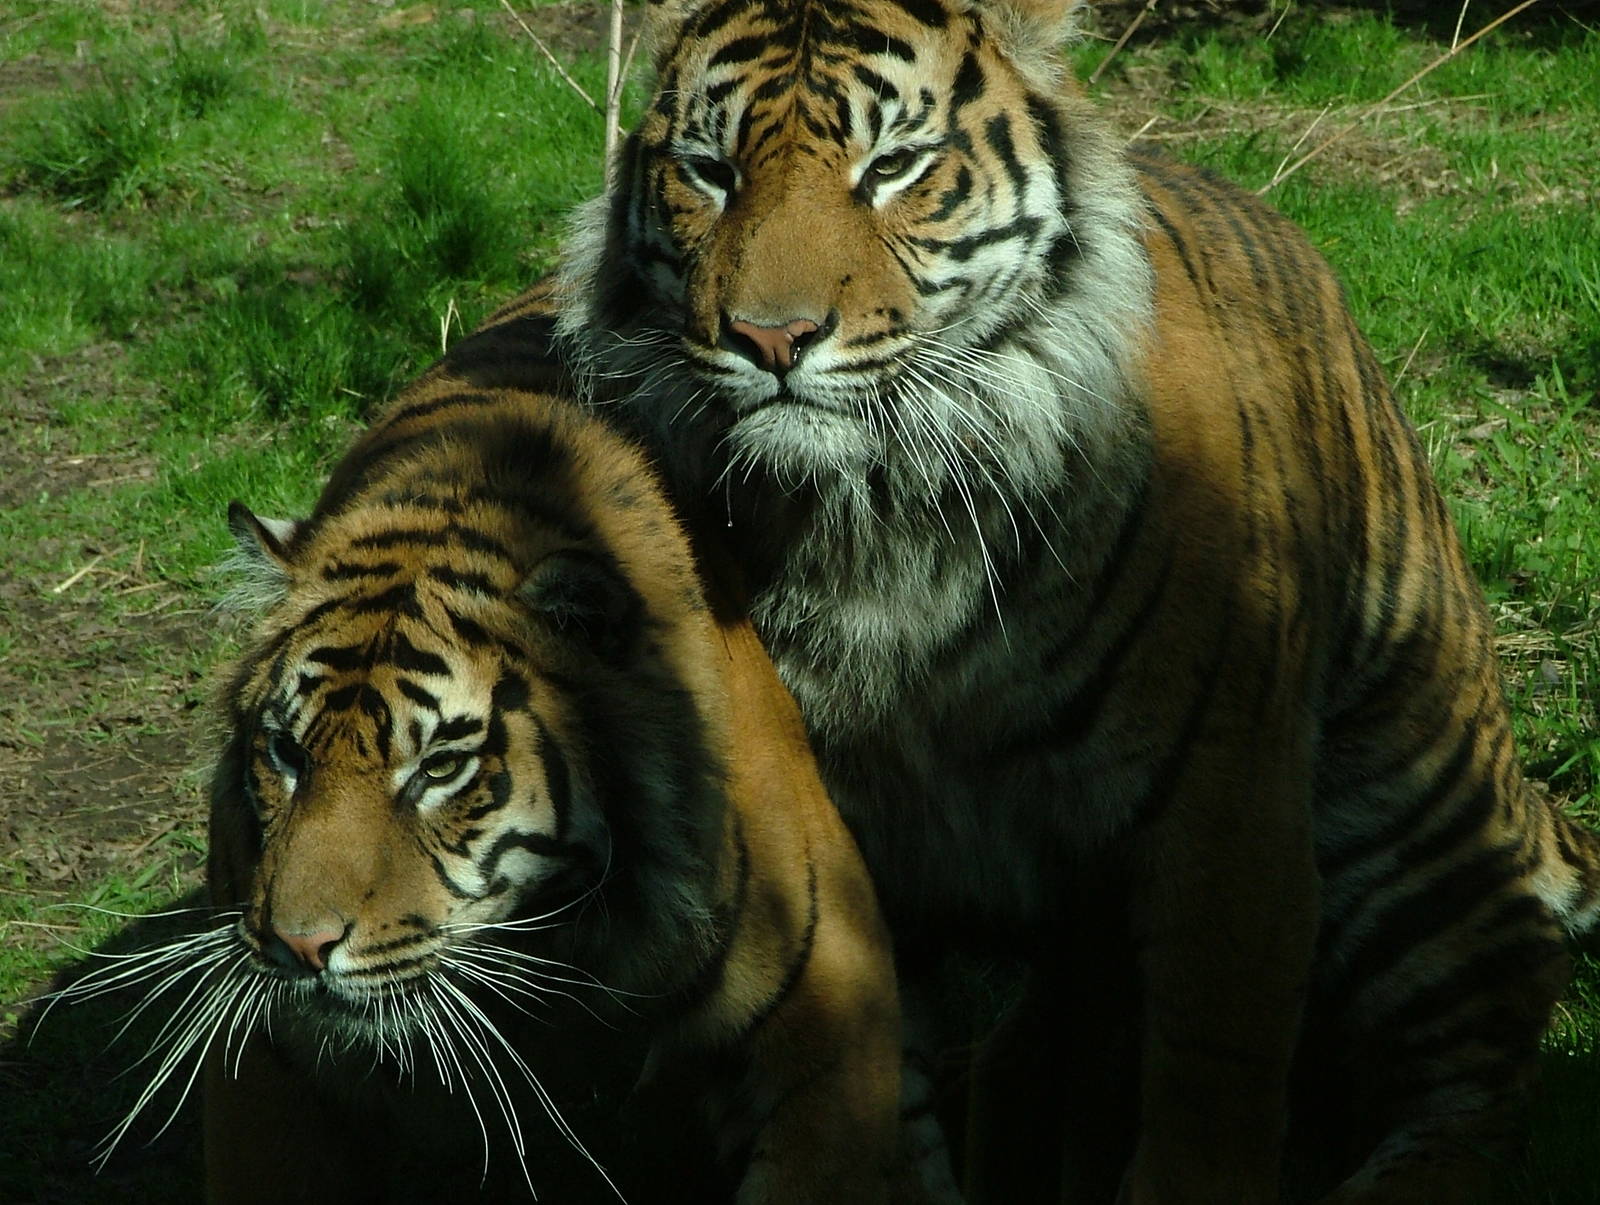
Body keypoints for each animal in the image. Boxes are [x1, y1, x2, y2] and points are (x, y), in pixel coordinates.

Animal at [176, 307, 908, 1203]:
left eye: (439, 767)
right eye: (285, 751)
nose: (299, 947)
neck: (550, 945)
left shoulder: (837, 995)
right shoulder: (265, 1049)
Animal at [542, 0, 1600, 1201]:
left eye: (892, 168)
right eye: (710, 173)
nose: (770, 338)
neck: (874, 510)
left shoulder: (1227, 804)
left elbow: (1210, 1080)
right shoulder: (813, 825)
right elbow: (851, 1067)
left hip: (1403, 822)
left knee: (1484, 1076)